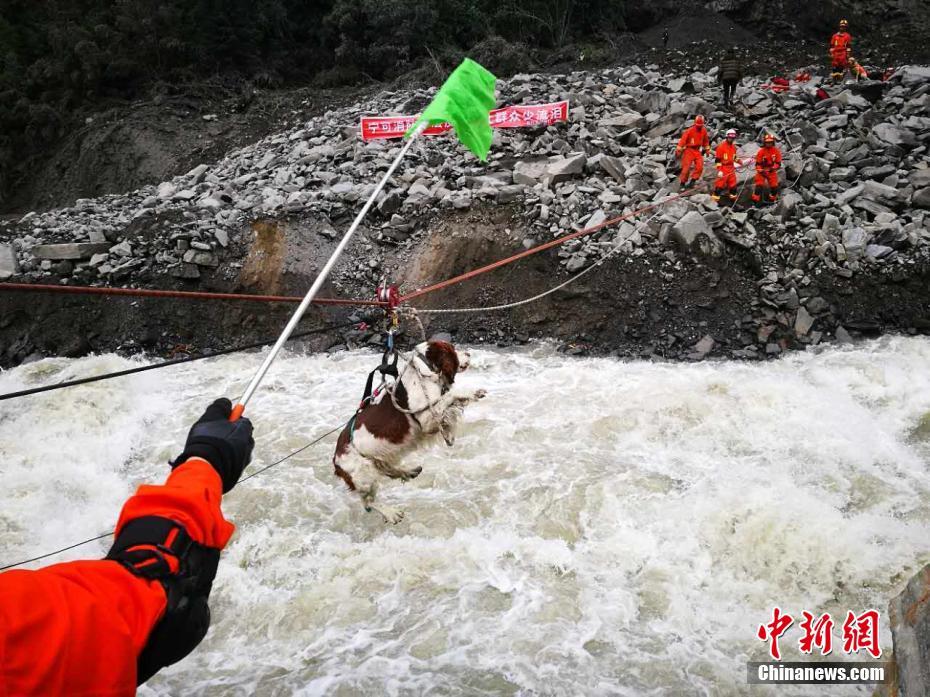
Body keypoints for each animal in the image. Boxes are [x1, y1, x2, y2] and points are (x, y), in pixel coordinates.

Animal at [330, 340, 486, 524]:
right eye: (453, 349)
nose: (468, 353)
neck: (424, 373)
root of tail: (336, 459)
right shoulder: (426, 419)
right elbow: (450, 396)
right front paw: (472, 392)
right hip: (364, 474)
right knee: (368, 502)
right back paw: (391, 513)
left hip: (375, 460)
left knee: (386, 470)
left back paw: (409, 472)